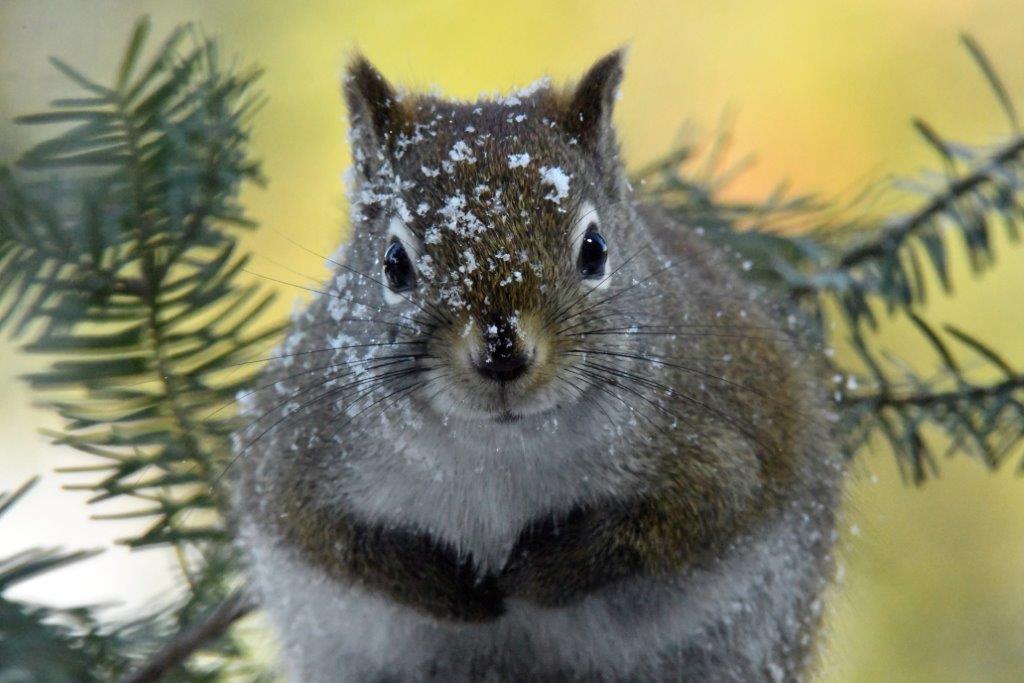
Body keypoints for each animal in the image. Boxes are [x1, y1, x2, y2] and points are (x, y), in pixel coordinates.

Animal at [234, 50, 845, 681]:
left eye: (595, 249)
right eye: (394, 262)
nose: (502, 352)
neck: (499, 450)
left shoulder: (721, 448)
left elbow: (679, 521)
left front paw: (540, 574)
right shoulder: (298, 463)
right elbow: (334, 542)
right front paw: (451, 589)